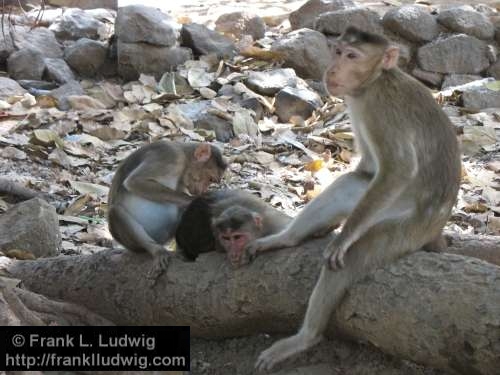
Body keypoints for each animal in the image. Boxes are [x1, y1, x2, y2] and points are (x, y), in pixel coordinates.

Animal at [109, 141, 227, 280]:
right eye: (210, 179)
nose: (202, 190)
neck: (184, 158)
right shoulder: (170, 156)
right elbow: (134, 181)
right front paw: (195, 199)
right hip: (132, 244)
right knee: (115, 212)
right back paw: (157, 250)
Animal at [244, 25, 458, 370]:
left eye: (353, 56)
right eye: (337, 51)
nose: (332, 70)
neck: (372, 83)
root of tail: (437, 226)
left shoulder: (381, 108)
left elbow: (398, 169)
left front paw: (342, 239)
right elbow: (369, 169)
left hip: (407, 229)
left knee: (356, 255)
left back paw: (305, 338)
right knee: (351, 185)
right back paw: (285, 239)